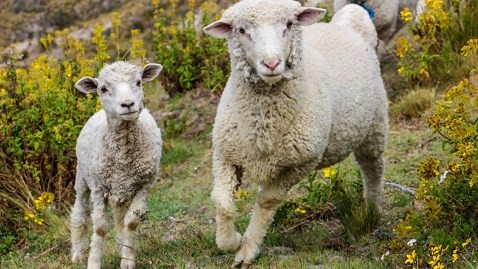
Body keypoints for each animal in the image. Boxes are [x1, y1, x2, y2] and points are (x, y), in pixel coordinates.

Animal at [69, 60, 162, 268]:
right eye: (103, 89)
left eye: (138, 82)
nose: (127, 104)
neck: (123, 157)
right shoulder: (98, 187)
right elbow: (100, 228)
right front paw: (94, 262)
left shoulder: (145, 184)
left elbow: (131, 222)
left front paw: (128, 259)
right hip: (82, 179)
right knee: (80, 212)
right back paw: (77, 253)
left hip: (123, 188)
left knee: (120, 218)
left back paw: (121, 246)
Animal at [203, 0, 388, 266]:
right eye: (241, 30)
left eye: (289, 24)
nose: (271, 63)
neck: (263, 123)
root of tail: (346, 23)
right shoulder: (225, 154)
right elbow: (222, 202)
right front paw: (231, 241)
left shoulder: (300, 164)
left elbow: (266, 201)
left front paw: (247, 248)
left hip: (375, 124)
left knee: (373, 169)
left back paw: (372, 210)